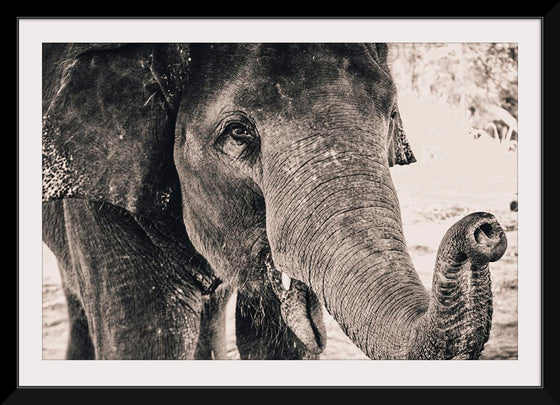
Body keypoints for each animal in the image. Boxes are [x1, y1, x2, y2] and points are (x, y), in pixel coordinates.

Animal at [42, 42, 508, 360]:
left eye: (391, 115)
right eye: (237, 133)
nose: (484, 228)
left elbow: (276, 345)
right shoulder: (102, 181)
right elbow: (148, 342)